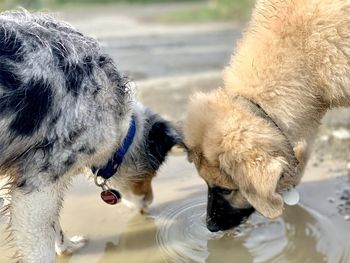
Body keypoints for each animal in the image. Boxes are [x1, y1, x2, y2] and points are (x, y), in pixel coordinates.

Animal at [0, 9, 182, 262]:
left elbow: (55, 225)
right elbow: (40, 246)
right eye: (150, 174)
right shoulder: (36, 188)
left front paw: (68, 247)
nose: (148, 205)